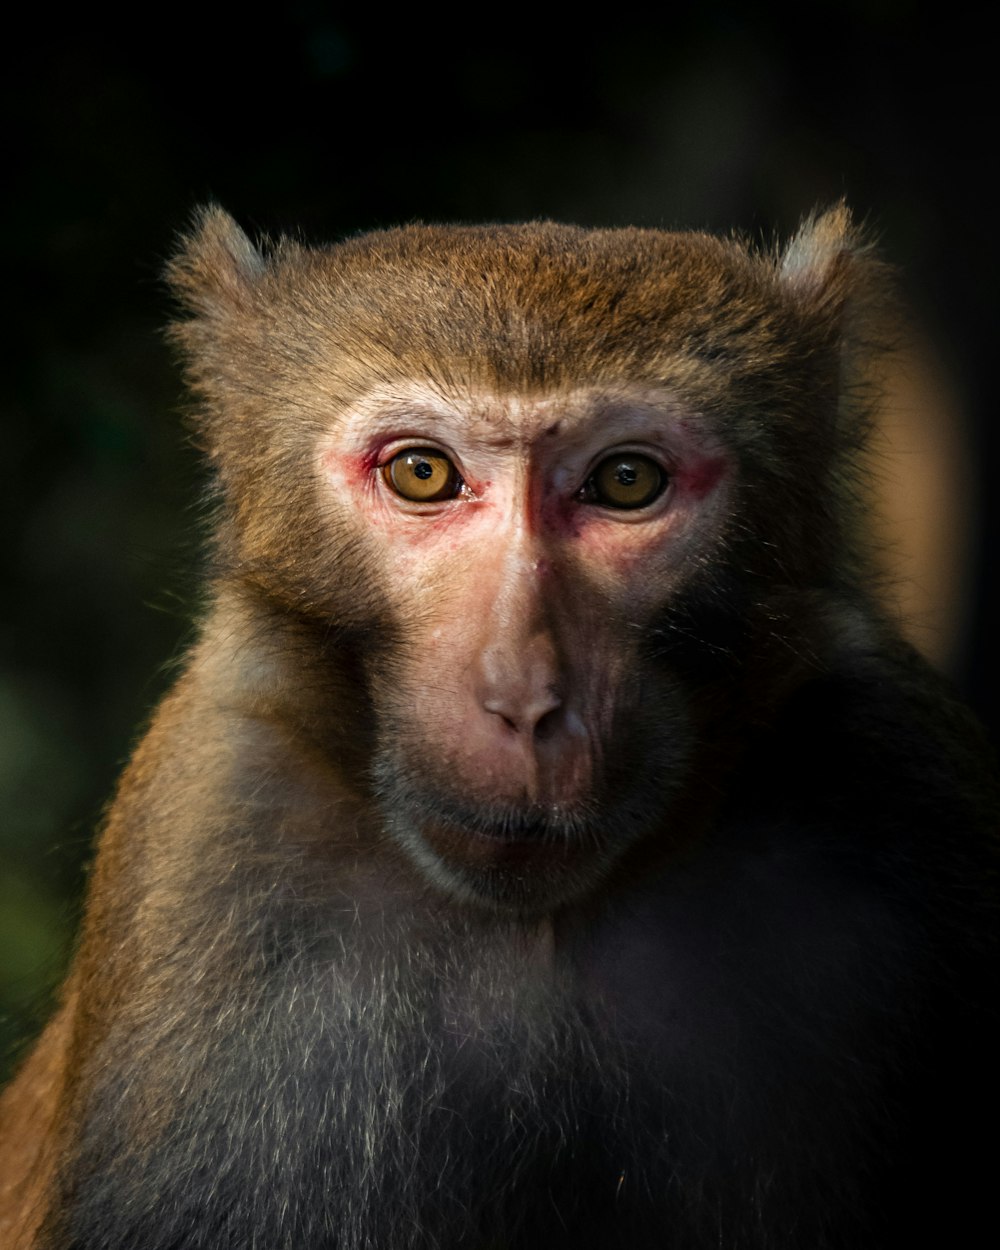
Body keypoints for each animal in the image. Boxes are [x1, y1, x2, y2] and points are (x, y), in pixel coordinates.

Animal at [0, 200, 995, 1245]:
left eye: (626, 481)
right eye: (422, 473)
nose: (523, 695)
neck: (540, 924)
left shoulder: (906, 783)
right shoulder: (217, 834)